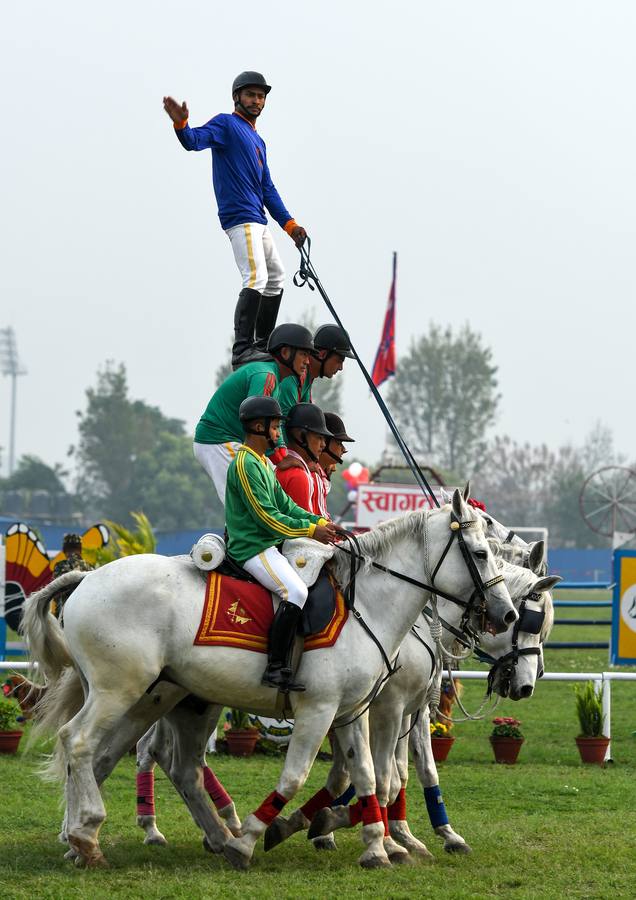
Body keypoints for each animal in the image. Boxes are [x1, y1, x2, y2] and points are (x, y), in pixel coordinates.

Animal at [23, 496, 516, 868]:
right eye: (480, 553)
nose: (506, 613)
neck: (368, 606)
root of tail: (88, 577)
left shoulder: (349, 713)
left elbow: (367, 775)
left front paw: (375, 846)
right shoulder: (322, 710)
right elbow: (298, 776)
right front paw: (255, 838)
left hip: (160, 699)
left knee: (141, 761)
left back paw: (98, 836)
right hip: (118, 691)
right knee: (79, 741)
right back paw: (91, 837)